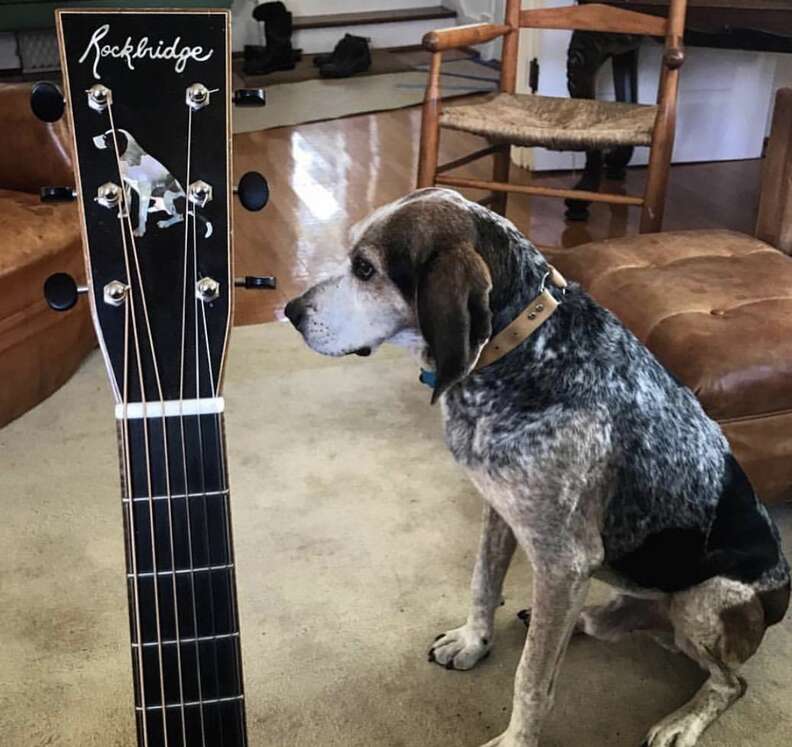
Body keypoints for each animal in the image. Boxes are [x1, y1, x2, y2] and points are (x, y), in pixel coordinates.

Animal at [286, 188, 792, 747]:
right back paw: (582, 621)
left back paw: (682, 721)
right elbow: (483, 584)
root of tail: (780, 602)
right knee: (604, 623)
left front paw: (516, 739)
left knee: (731, 683)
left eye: (364, 269)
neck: (519, 347)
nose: (289, 311)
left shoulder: (563, 562)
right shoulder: (499, 510)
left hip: (705, 601)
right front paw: (473, 641)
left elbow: (530, 678)